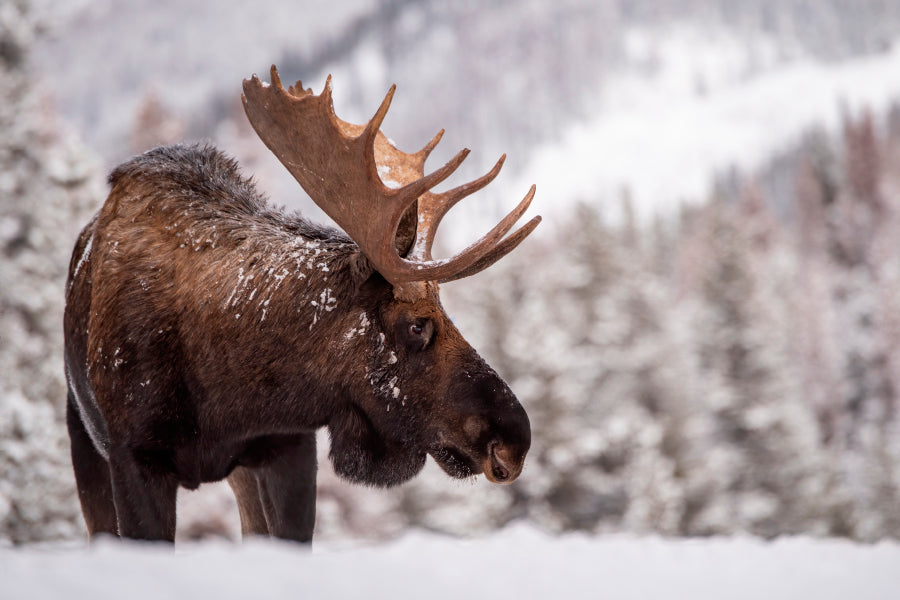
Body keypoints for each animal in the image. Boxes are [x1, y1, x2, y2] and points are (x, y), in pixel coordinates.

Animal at [65, 67, 540, 544]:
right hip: (83, 438)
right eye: (417, 324)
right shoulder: (134, 456)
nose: (514, 440)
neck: (226, 395)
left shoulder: (289, 446)